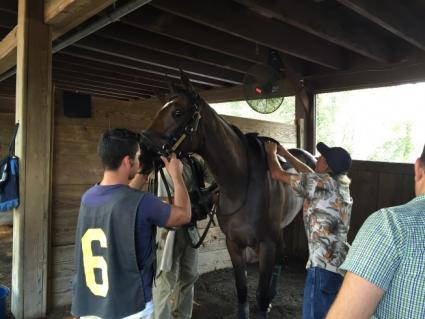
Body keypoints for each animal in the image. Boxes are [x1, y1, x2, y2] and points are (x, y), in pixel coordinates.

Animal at [141, 72, 314, 319]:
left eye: (177, 112)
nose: (143, 152)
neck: (241, 184)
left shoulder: (267, 244)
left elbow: (260, 295)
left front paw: (266, 302)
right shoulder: (234, 243)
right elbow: (241, 289)